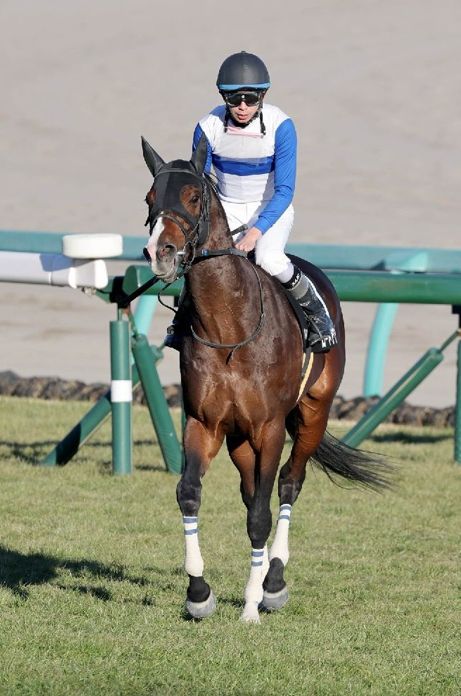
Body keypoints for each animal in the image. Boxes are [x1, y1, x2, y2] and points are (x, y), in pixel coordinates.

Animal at [141, 134, 390, 623]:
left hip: (312, 413)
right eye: (149, 199)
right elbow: (189, 494)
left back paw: (273, 582)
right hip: (240, 438)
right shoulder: (204, 423)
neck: (228, 329)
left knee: (288, 484)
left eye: (193, 196)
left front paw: (253, 604)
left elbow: (262, 513)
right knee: (251, 488)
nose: (160, 252)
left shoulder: (270, 426)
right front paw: (199, 594)